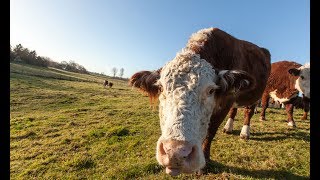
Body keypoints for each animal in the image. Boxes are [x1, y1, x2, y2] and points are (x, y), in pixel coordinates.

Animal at [129, 28, 272, 176]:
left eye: (211, 90)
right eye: (160, 87)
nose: (176, 152)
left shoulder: (225, 104)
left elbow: (210, 132)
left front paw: (204, 162)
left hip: (256, 96)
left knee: (248, 112)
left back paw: (245, 133)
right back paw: (228, 128)